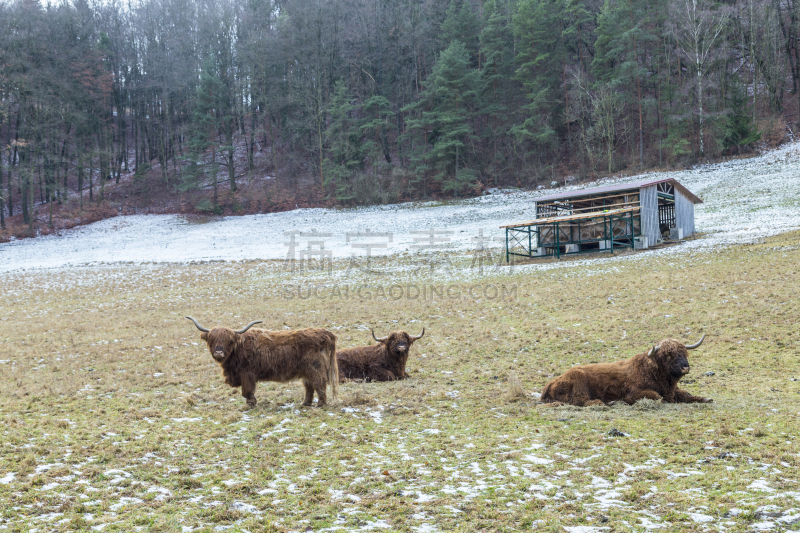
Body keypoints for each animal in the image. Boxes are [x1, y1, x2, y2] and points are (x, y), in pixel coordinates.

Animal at [187, 316, 338, 408]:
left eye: (229, 341)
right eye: (212, 340)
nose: (219, 352)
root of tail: (325, 333)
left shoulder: (247, 374)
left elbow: (247, 391)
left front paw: (251, 404)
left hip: (315, 368)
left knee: (319, 384)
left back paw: (320, 404)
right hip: (306, 371)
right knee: (309, 387)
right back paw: (305, 404)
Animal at [540, 334, 708, 406]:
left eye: (684, 352)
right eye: (668, 355)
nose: (685, 367)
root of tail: (549, 384)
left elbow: (686, 395)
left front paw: (705, 398)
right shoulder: (633, 393)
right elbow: (657, 397)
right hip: (579, 378)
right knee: (580, 400)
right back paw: (604, 403)